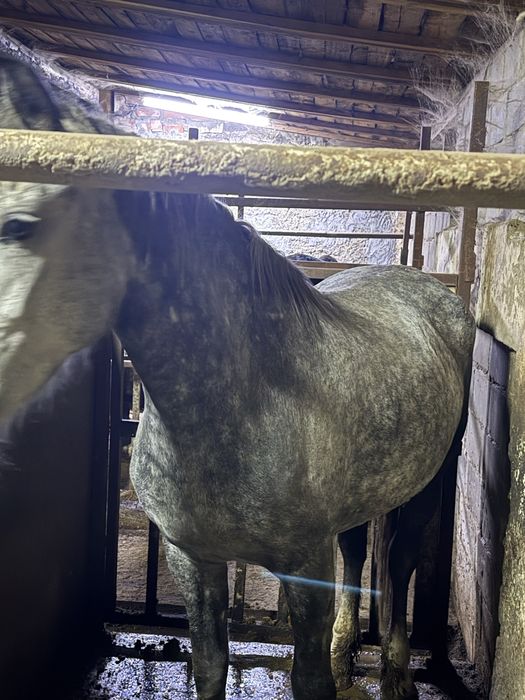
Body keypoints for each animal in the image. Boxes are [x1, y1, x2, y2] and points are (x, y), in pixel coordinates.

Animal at [0, 57, 475, 700]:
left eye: (19, 226)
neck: (239, 404)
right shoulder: (190, 559)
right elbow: (209, 666)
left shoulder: (304, 570)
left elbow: (310, 680)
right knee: (357, 551)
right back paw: (347, 648)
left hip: (432, 480)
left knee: (398, 563)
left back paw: (397, 674)